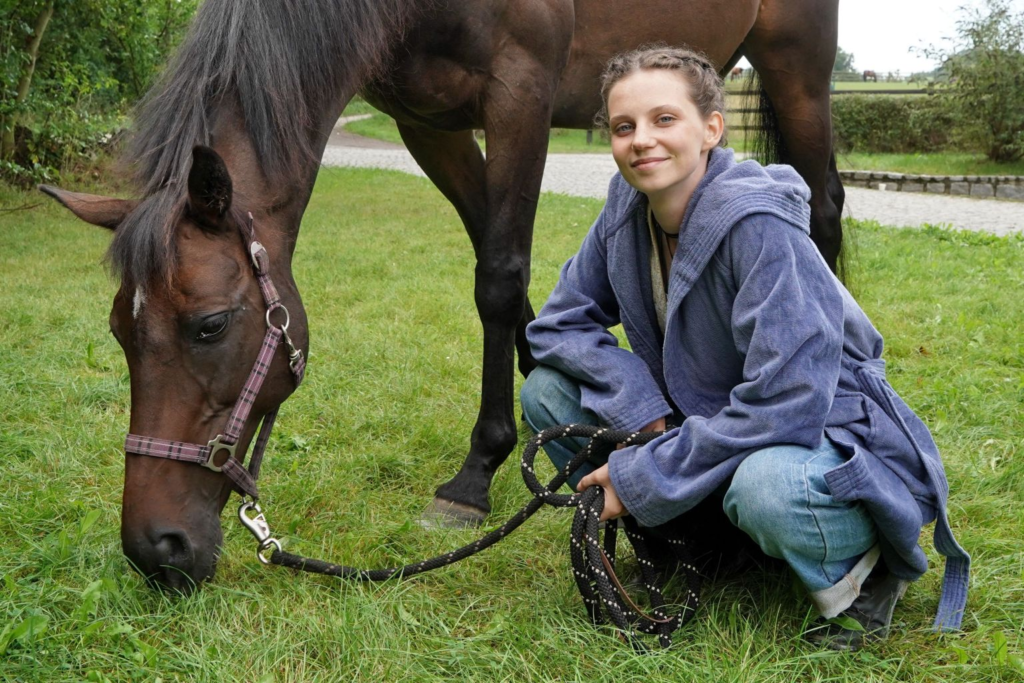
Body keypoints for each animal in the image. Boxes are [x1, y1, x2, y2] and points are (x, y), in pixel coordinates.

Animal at [41, 0, 845, 592]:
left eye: (209, 325)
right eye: (119, 333)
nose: (156, 546)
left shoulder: (521, 91)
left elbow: (498, 275)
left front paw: (474, 475)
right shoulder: (427, 123)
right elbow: (498, 260)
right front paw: (538, 416)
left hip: (797, 67)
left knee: (824, 206)